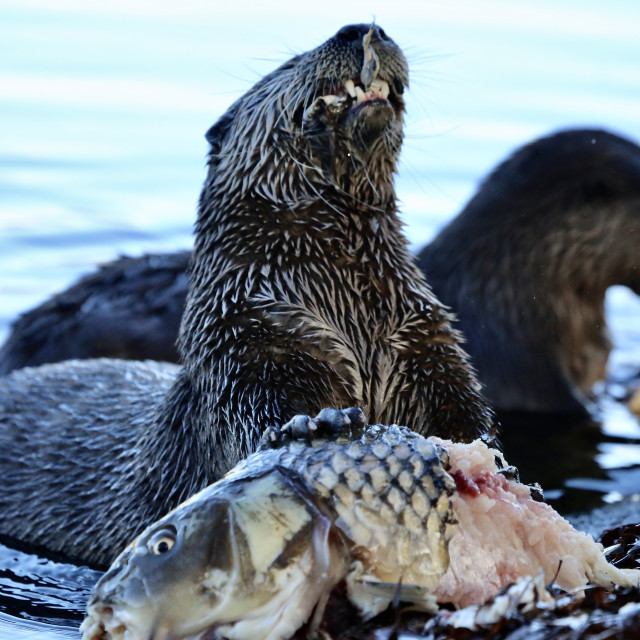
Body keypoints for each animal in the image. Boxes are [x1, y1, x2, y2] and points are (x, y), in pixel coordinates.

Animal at [0, 22, 496, 568]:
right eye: (288, 62)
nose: (363, 29)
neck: (351, 315)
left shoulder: (426, 345)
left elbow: (461, 406)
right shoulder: (246, 342)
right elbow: (256, 410)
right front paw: (314, 423)